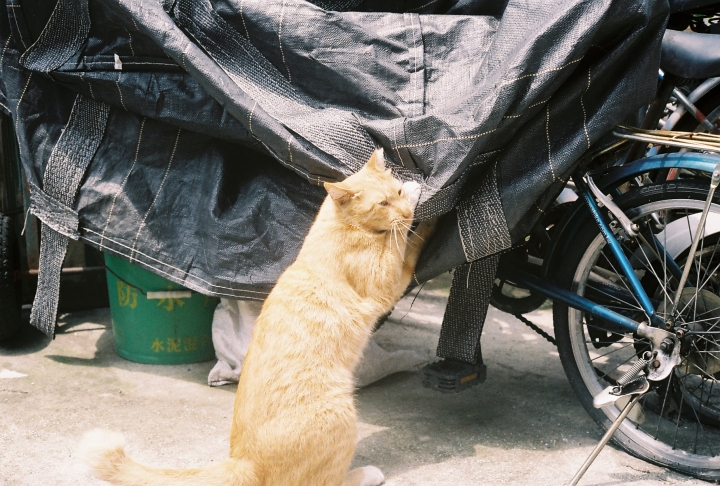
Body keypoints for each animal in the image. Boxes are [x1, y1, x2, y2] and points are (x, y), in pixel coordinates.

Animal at [82, 150, 436, 484]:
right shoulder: (386, 283)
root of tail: (245, 461)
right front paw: (421, 212)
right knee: (326, 482)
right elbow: (404, 244)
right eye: (383, 203)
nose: (406, 210)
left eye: (396, 192)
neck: (336, 227)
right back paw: (366, 475)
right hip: (340, 413)